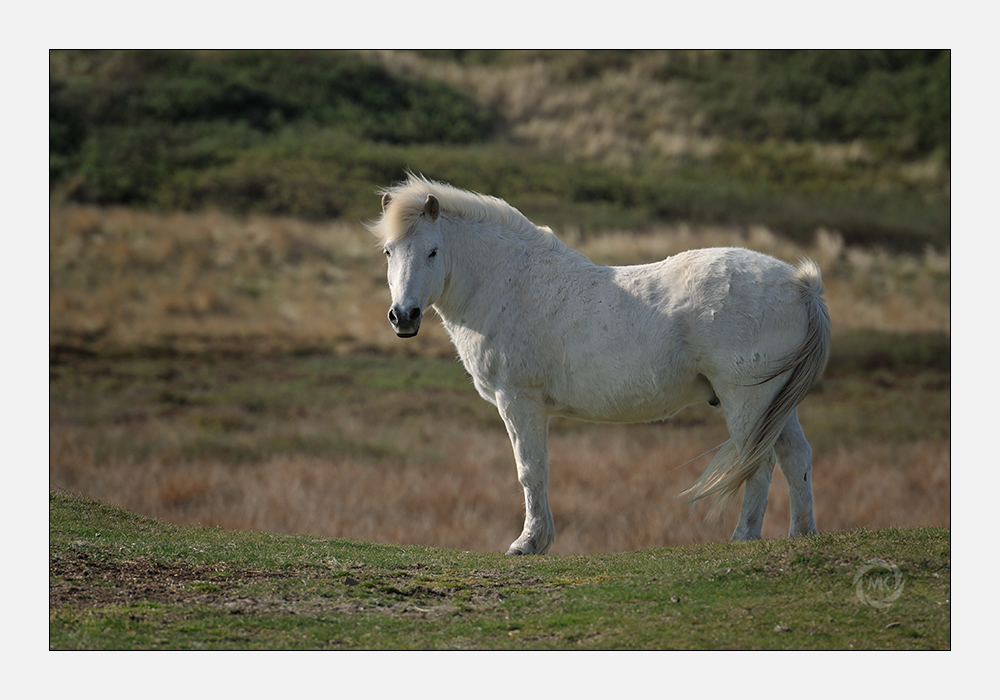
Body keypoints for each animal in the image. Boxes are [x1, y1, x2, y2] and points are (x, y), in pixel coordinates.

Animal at [372, 174, 832, 552]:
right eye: (389, 251)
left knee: (761, 463)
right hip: (776, 403)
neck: (509, 283)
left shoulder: (518, 402)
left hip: (747, 401)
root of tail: (800, 284)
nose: (404, 316)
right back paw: (801, 534)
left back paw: (743, 537)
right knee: (797, 459)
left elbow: (530, 470)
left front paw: (529, 543)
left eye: (433, 251)